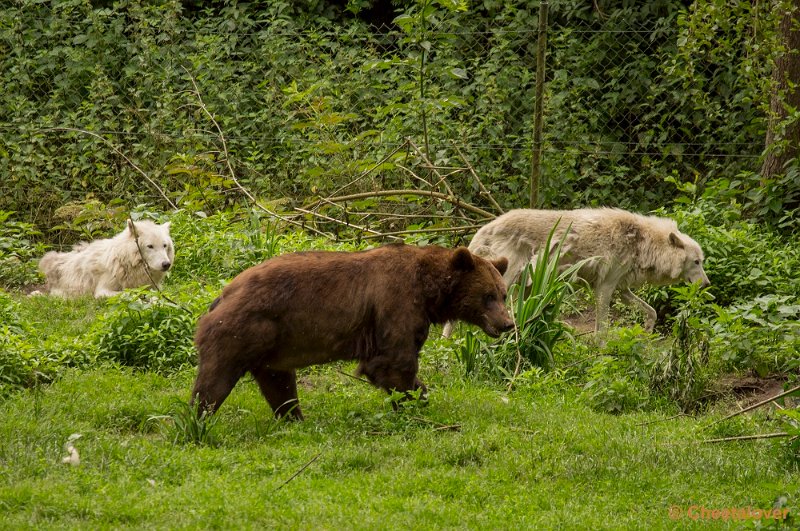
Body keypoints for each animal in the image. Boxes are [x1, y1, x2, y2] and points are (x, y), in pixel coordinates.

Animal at [39, 218, 174, 298]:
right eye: (150, 246)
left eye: (164, 245)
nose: (166, 264)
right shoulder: (102, 291)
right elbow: (127, 293)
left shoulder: (154, 288)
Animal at [191, 243, 512, 422]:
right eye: (488, 296)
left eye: (503, 294)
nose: (507, 324)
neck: (429, 290)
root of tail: (221, 296)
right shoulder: (395, 303)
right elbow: (392, 362)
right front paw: (416, 400)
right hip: (240, 330)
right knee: (213, 383)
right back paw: (197, 421)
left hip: (270, 347)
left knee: (280, 385)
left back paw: (295, 419)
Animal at [444, 209, 712, 336]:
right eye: (696, 262)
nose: (708, 284)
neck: (641, 242)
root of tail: (487, 226)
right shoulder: (604, 289)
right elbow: (602, 328)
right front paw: (601, 351)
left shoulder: (622, 290)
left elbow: (652, 312)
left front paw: (646, 330)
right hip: (507, 284)